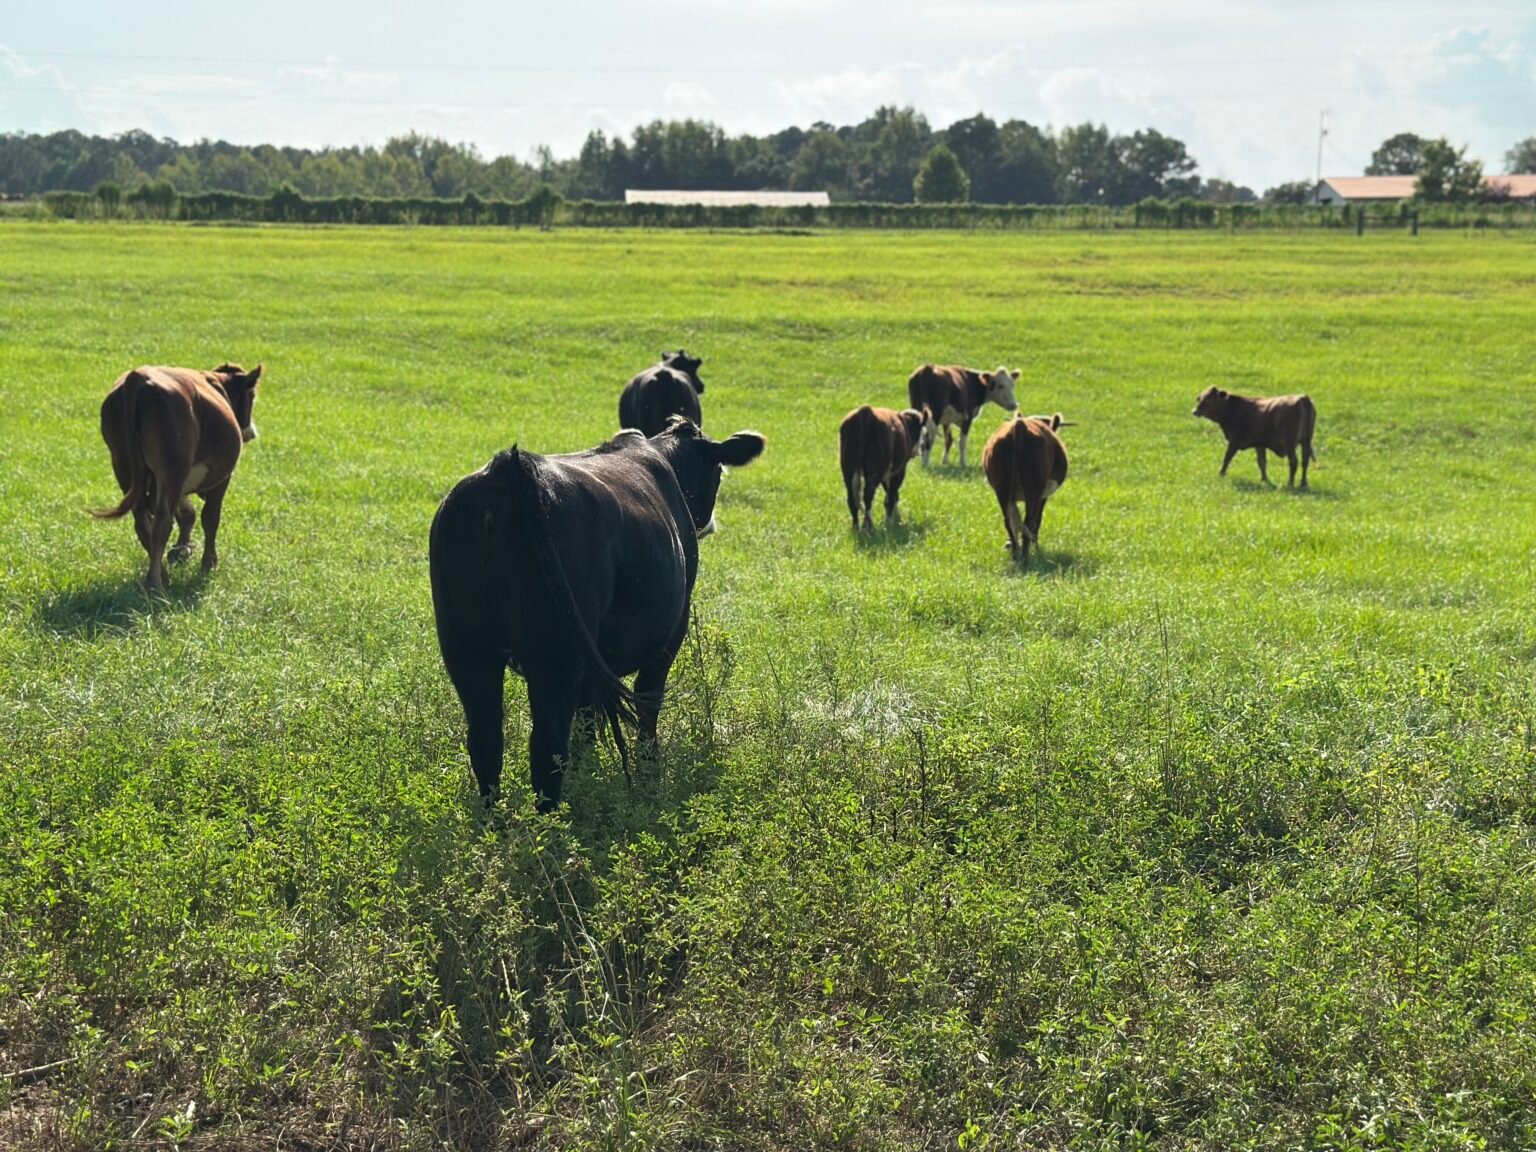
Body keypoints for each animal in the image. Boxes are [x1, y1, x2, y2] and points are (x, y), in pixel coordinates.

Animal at [92, 363, 264, 592]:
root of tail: (138, 377)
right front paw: (208, 562)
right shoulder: (221, 478)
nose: (251, 432)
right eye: (252, 396)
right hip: (173, 467)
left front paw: (182, 549)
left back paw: (162, 575)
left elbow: (187, 514)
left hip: (124, 465)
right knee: (162, 522)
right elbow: (210, 517)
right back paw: (156, 585)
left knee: (143, 521)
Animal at [429, 418, 765, 813]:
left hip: (467, 649)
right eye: (719, 472)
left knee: (486, 742)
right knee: (547, 746)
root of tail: (510, 472)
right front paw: (649, 777)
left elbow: (586, 721)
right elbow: (648, 706)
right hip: (555, 655)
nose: (709, 523)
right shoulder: (671, 634)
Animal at [982, 413, 1070, 565]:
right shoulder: (1043, 496)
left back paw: (1016, 555)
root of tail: (1020, 424)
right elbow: (1037, 519)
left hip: (1002, 490)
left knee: (1009, 521)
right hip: (1033, 491)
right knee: (1029, 521)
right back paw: (1025, 556)